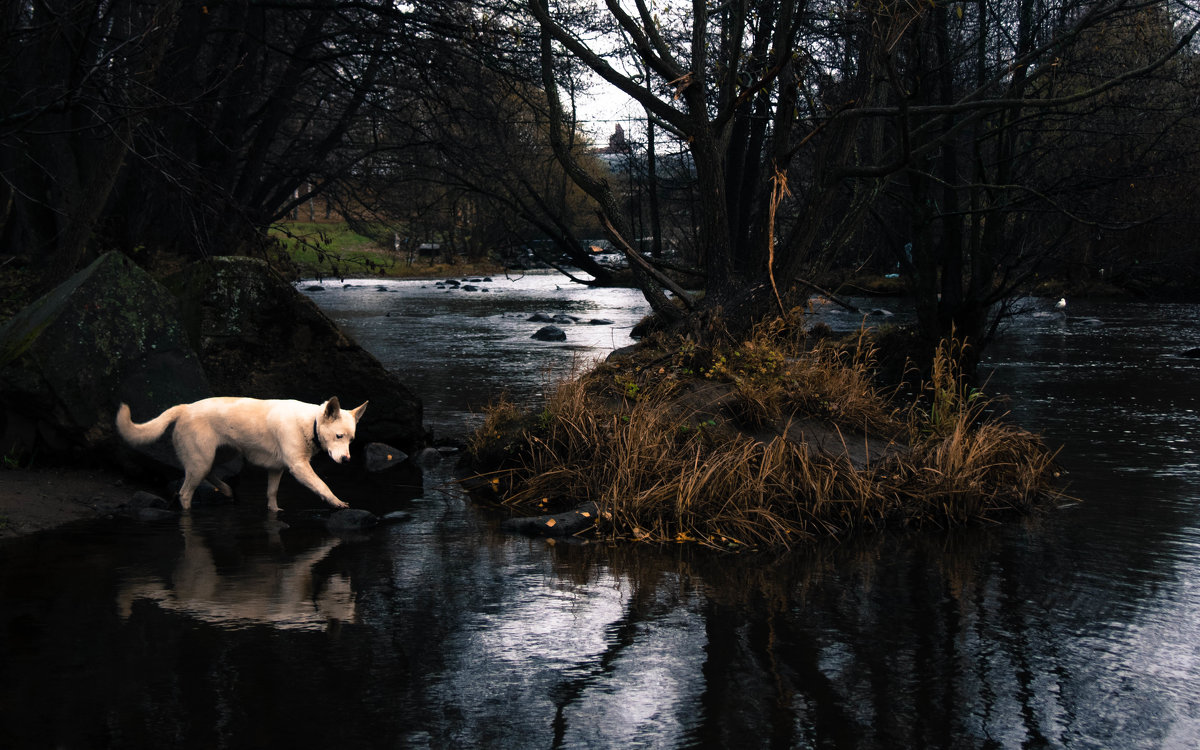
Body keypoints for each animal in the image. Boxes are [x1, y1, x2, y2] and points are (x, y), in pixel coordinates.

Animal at [120, 396, 369, 511]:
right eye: (338, 436)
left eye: (351, 440)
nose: (346, 460)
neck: (311, 423)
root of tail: (185, 408)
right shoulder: (298, 466)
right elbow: (322, 485)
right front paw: (337, 502)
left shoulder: (276, 469)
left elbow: (271, 493)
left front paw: (274, 510)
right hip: (201, 459)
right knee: (185, 493)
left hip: (217, 455)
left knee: (208, 473)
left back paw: (227, 490)